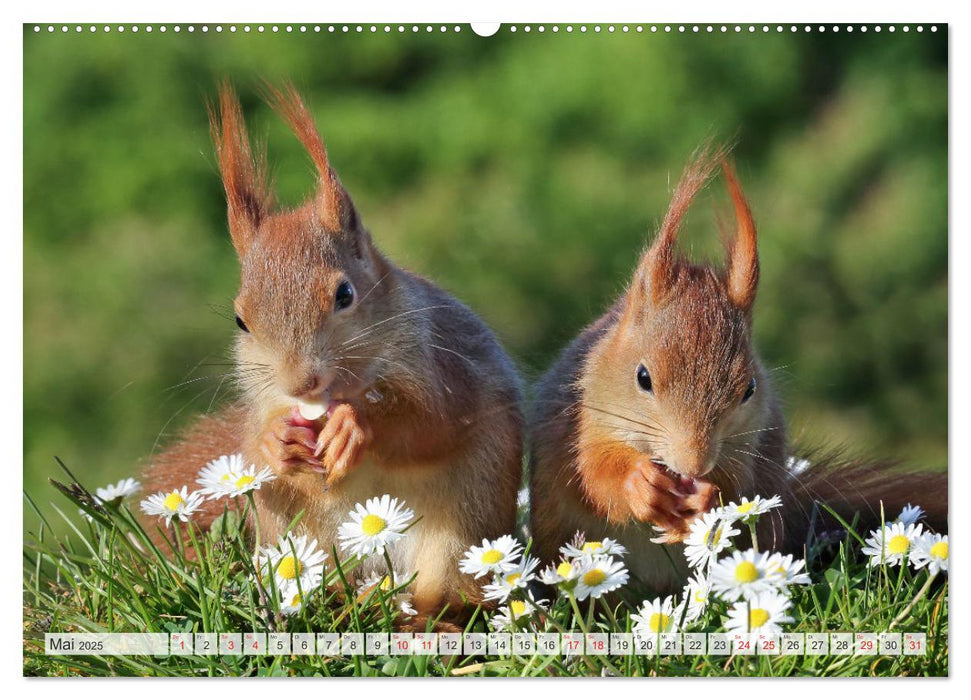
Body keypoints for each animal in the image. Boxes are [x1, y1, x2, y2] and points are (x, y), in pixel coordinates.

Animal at [139, 83, 524, 628]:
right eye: (240, 320)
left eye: (345, 294)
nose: (301, 383)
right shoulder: (262, 400)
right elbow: (255, 446)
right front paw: (277, 440)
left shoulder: (446, 365)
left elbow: (432, 424)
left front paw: (354, 425)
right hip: (295, 534)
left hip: (461, 530)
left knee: (443, 596)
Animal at [532, 144, 948, 596]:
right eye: (642, 378)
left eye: (748, 388)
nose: (694, 465)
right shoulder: (582, 422)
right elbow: (594, 475)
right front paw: (640, 485)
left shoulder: (747, 445)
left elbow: (736, 488)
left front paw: (705, 498)